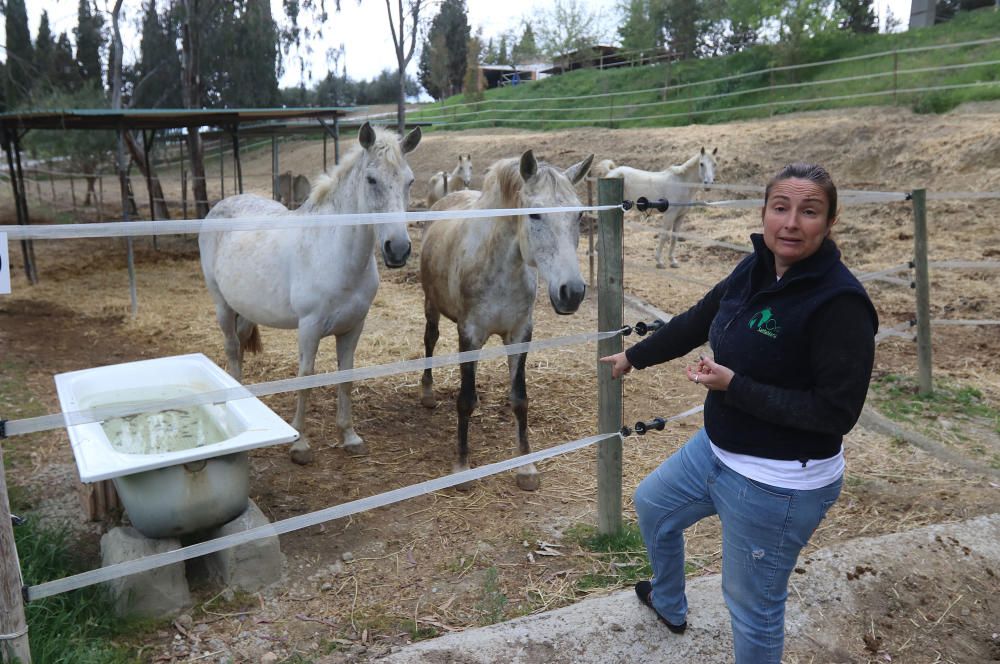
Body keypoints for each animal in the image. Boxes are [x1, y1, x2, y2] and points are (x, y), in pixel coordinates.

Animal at [199, 122, 422, 464]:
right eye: (371, 179)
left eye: (409, 181)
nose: (397, 250)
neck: (334, 252)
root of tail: (220, 207)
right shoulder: (309, 328)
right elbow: (306, 378)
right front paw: (300, 444)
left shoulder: (353, 328)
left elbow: (346, 377)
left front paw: (349, 436)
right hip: (222, 306)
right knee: (232, 349)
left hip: (246, 308)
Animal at [416, 152, 588, 492]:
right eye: (534, 215)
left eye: (577, 216)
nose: (572, 292)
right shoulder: (469, 334)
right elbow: (465, 400)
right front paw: (462, 468)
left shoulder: (520, 333)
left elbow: (519, 399)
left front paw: (526, 468)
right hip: (431, 304)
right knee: (430, 339)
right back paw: (427, 393)